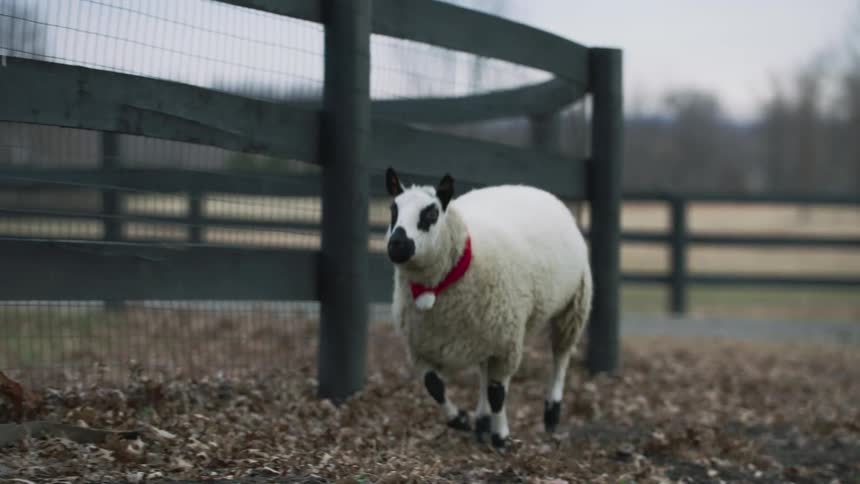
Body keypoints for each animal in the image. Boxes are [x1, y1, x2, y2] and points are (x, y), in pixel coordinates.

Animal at [383, 167, 593, 448]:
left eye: (431, 213)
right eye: (393, 210)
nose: (397, 245)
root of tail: (528, 187)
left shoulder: (506, 344)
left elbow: (497, 393)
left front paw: (501, 436)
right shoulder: (419, 348)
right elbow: (434, 386)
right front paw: (460, 419)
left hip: (573, 306)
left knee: (560, 358)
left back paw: (551, 414)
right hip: (487, 334)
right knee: (484, 374)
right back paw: (482, 422)